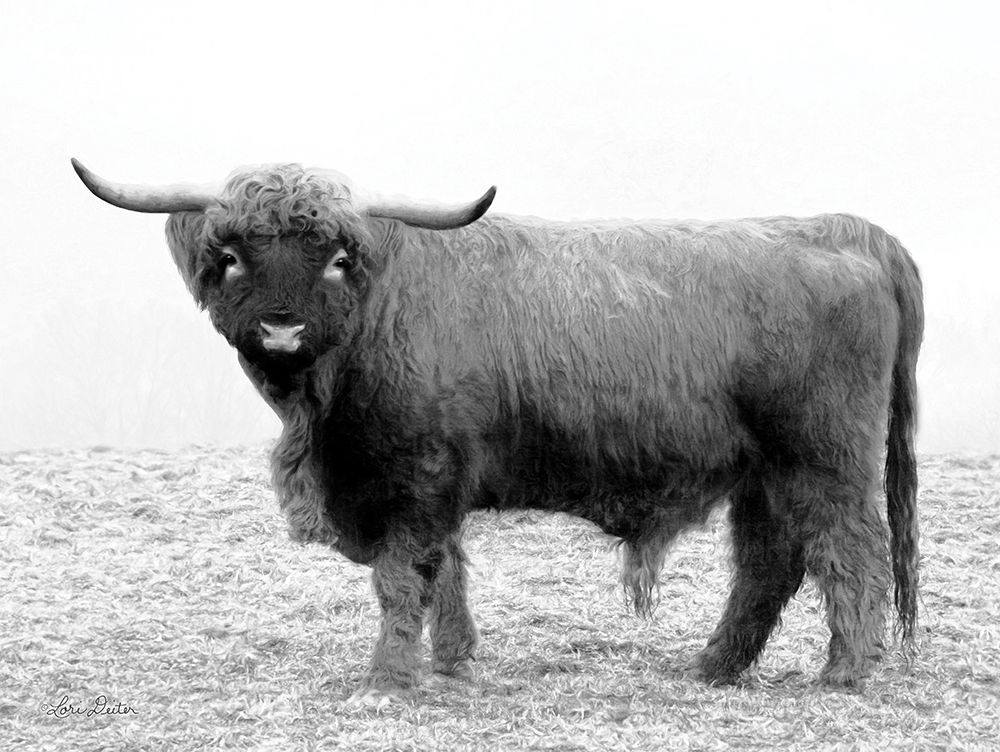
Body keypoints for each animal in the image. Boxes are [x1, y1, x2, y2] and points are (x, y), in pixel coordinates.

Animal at [72, 159, 923, 705]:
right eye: (232, 255)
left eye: (339, 258)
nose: (282, 331)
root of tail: (844, 229)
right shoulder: (437, 480)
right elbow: (446, 570)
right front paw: (453, 662)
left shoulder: (413, 479)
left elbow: (402, 577)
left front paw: (389, 680)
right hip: (762, 472)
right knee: (769, 564)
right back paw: (714, 667)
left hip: (824, 458)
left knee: (851, 551)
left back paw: (844, 673)